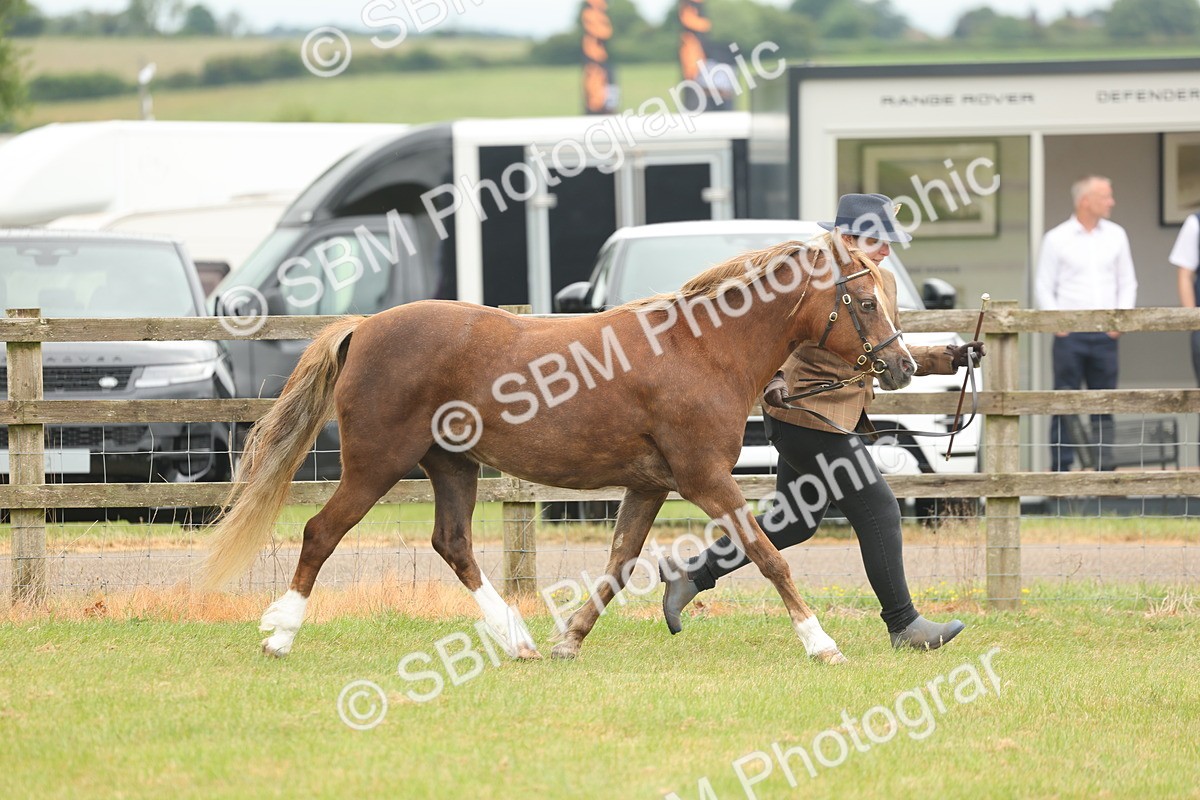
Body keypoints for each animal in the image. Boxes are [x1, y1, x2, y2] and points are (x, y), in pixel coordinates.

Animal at [199, 233, 916, 663]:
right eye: (864, 300)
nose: (903, 365)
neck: (701, 349)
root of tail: (365, 325)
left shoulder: (650, 484)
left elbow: (621, 562)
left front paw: (569, 639)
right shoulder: (704, 477)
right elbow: (770, 557)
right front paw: (821, 643)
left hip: (452, 466)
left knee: (453, 545)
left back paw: (517, 639)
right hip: (376, 466)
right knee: (321, 532)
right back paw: (280, 634)